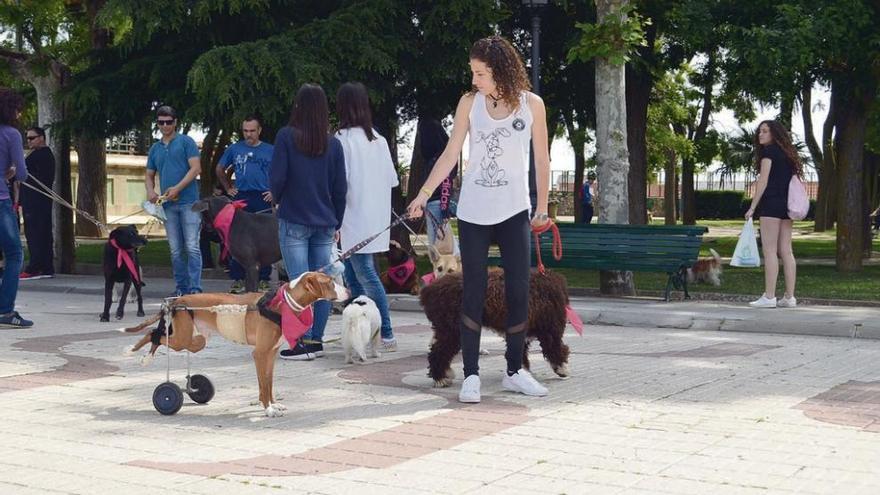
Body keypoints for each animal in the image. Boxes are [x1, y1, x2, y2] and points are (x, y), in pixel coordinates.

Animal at [123, 274, 348, 416]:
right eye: (329, 282)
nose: (348, 290)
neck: (282, 303)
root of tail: (178, 300)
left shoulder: (270, 354)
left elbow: (268, 382)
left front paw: (272, 405)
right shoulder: (260, 353)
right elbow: (264, 384)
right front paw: (268, 409)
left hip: (195, 341)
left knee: (160, 335)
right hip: (181, 340)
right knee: (154, 334)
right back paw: (139, 355)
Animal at [420, 268, 572, 388]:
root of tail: (429, 290)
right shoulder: (550, 328)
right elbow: (555, 348)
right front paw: (562, 368)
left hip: (447, 328)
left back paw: (444, 373)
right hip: (453, 330)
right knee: (438, 352)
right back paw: (440, 378)